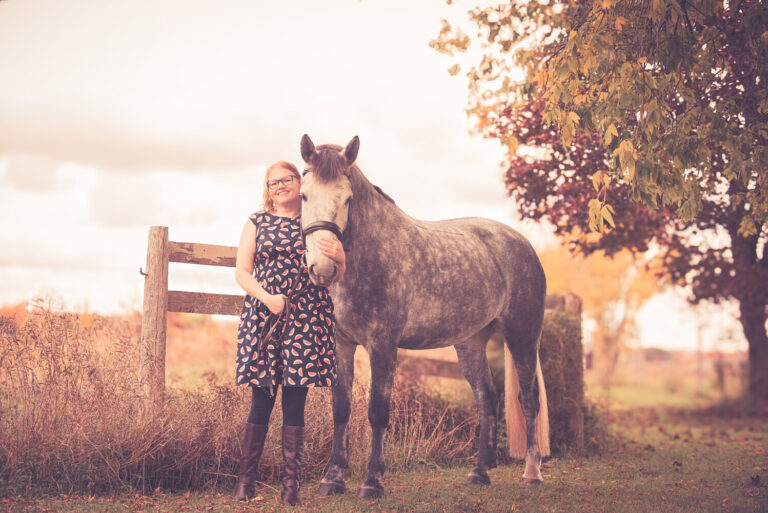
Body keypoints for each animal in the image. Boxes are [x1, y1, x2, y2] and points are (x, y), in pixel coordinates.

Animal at [298, 134, 548, 498]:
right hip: (471, 342)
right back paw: (479, 472)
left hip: (523, 336)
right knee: (487, 398)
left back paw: (532, 472)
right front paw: (332, 479)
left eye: (347, 199)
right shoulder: (341, 345)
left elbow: (377, 411)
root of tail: (522, 243)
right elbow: (341, 409)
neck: (373, 254)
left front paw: (372, 482)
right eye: (304, 195)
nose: (323, 267)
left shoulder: (383, 345)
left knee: (528, 399)